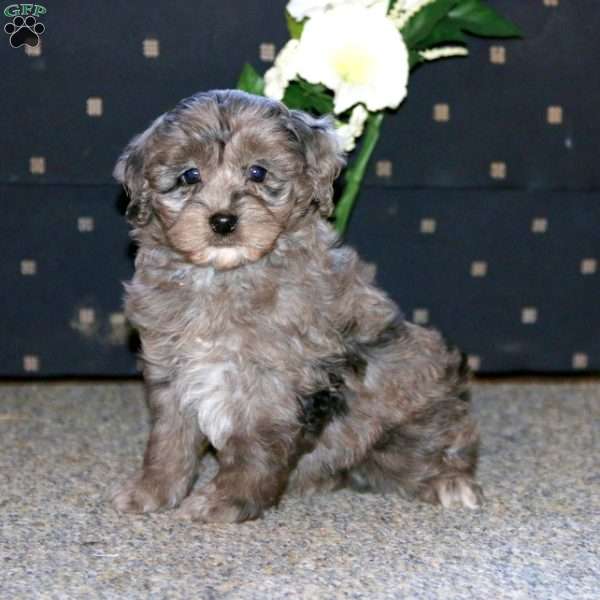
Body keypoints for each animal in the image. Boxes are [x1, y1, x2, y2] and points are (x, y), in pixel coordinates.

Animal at [112, 88, 482, 520]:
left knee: (438, 444)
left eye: (258, 172)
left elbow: (252, 444)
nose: (223, 221)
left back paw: (449, 482)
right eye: (190, 175)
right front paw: (151, 490)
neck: (222, 276)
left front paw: (227, 501)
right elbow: (169, 439)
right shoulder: (169, 368)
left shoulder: (273, 381)